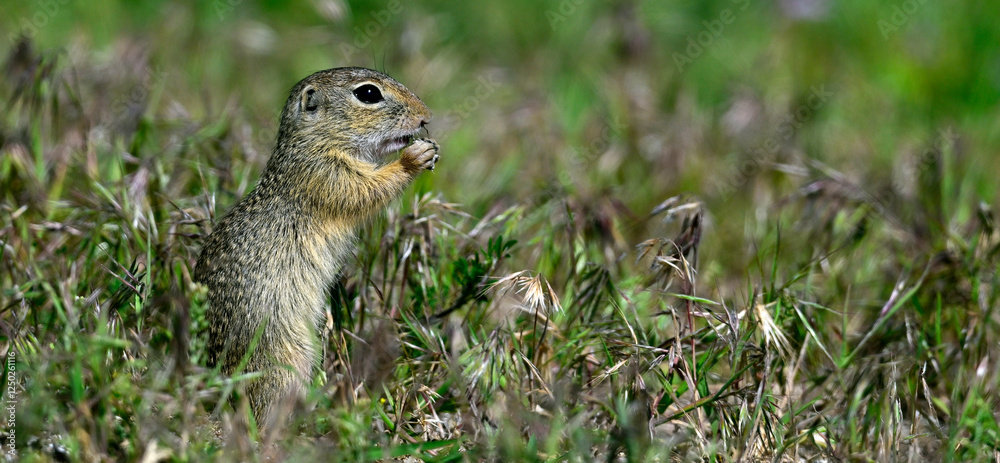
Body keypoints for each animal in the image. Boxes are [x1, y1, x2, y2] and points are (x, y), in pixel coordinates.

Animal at [194, 67, 439, 429]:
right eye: (368, 94)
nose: (426, 116)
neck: (314, 141)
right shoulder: (327, 174)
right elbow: (368, 189)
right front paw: (413, 158)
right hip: (285, 360)